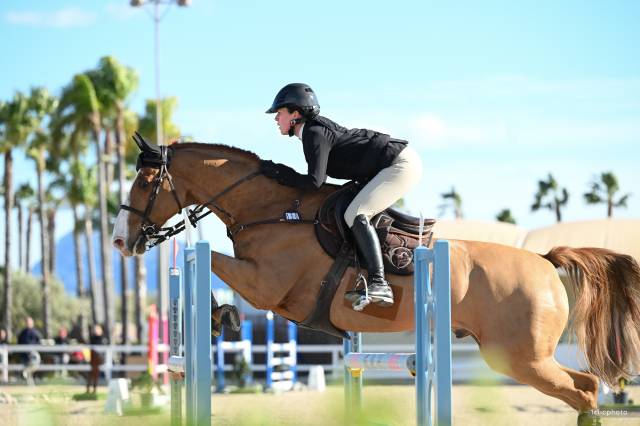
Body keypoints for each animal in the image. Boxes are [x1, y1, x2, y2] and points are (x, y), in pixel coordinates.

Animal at [112, 139, 640, 419]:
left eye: (145, 182)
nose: (120, 240)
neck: (272, 210)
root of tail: (545, 261)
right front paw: (222, 317)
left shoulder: (266, 285)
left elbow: (218, 265)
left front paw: (223, 316)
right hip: (524, 357)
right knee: (586, 387)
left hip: (517, 357)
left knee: (581, 390)